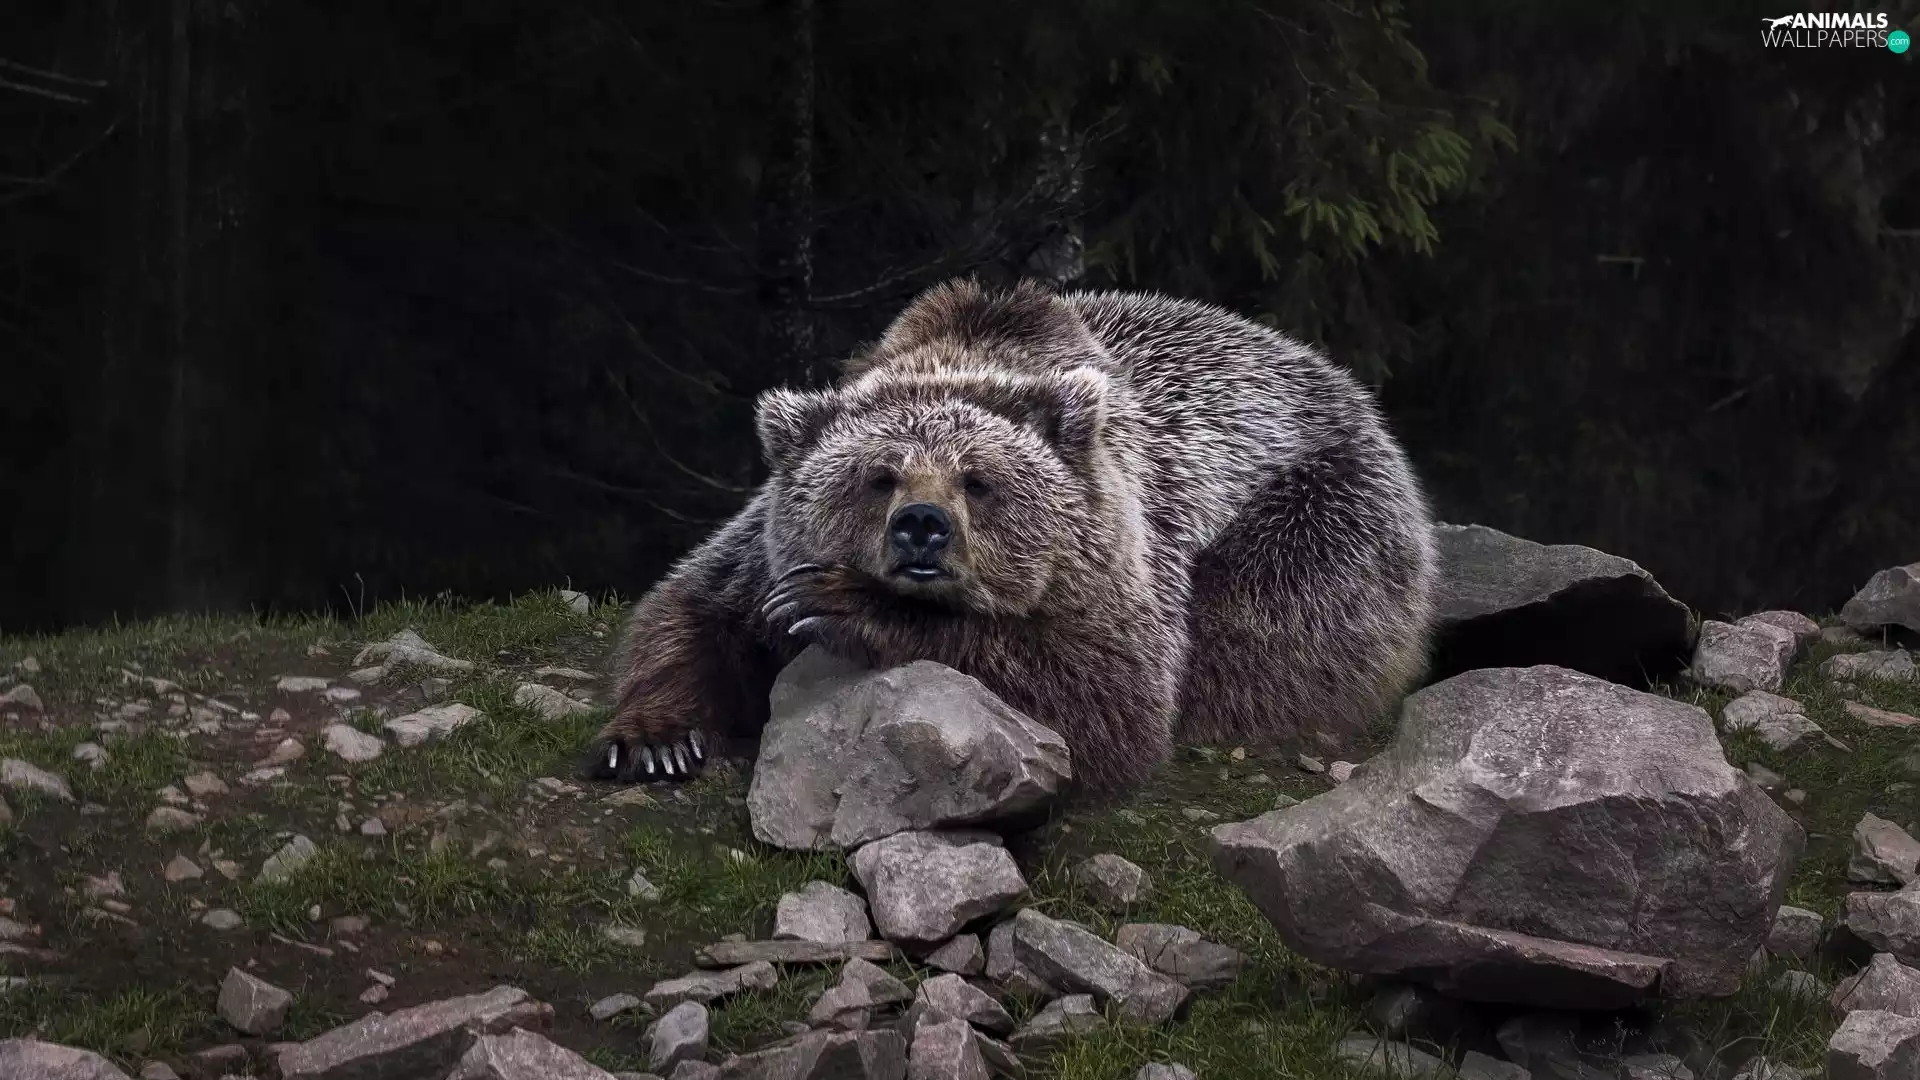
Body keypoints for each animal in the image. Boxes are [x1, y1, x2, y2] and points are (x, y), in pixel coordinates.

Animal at [582, 278, 1437, 795]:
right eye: (880, 475)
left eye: (977, 480)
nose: (922, 529)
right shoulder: (759, 551)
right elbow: (691, 611)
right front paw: (655, 737)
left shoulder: (1126, 549)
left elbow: (1110, 696)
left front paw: (851, 607)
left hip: (1316, 512)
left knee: (1261, 631)